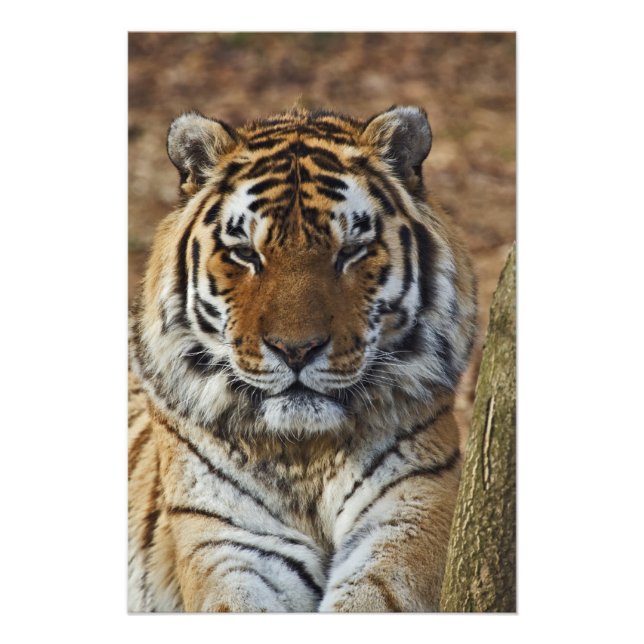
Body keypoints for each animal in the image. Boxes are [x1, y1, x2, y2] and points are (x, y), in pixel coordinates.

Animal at [128, 105, 477, 612]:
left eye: (350, 251)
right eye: (245, 253)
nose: (296, 349)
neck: (304, 454)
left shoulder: (409, 511)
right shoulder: (230, 540)